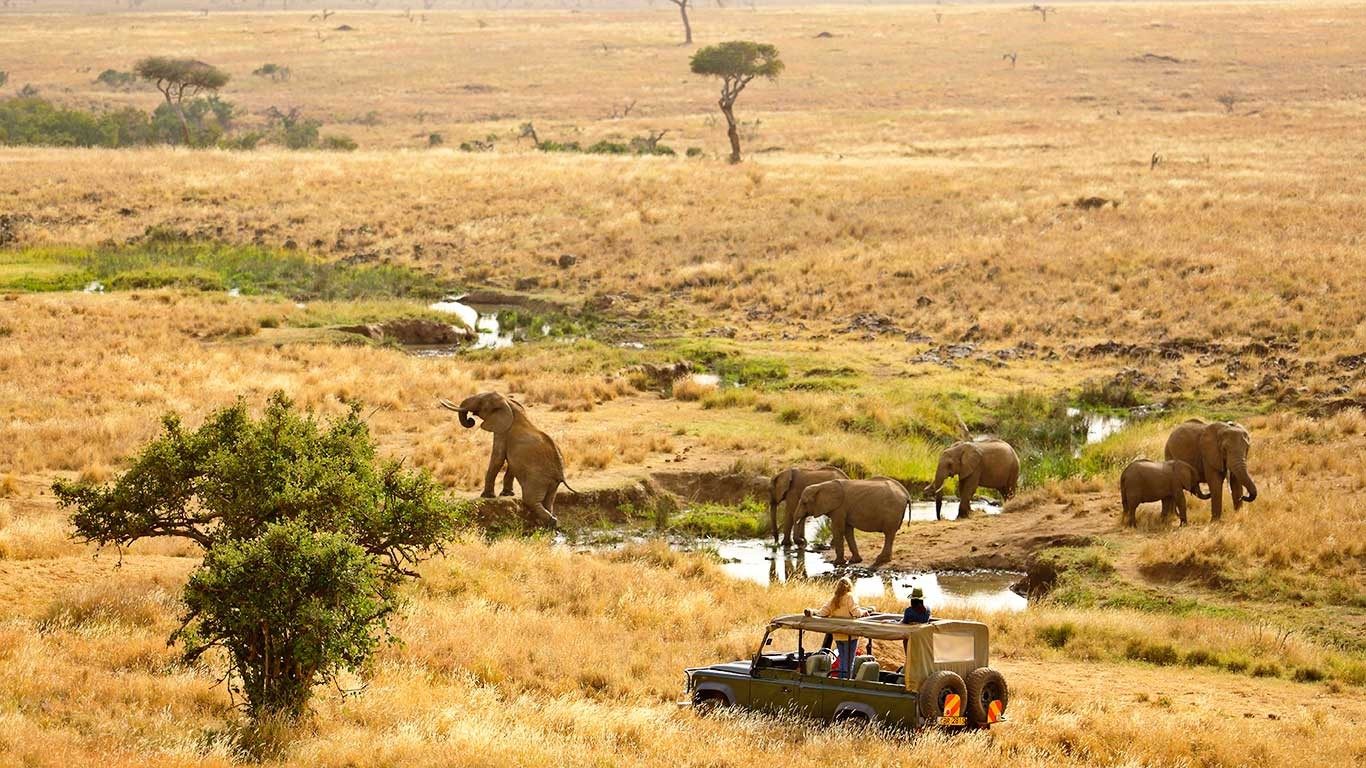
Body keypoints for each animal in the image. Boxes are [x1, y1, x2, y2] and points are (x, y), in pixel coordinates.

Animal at [440, 392, 575, 528]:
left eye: (481, 402)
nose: (470, 420)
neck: (509, 404)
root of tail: (561, 474)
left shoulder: (502, 432)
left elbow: (498, 459)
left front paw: (486, 496)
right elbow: (511, 465)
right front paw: (506, 494)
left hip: (538, 479)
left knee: (531, 500)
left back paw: (550, 522)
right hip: (551, 482)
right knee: (548, 501)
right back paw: (550, 524)